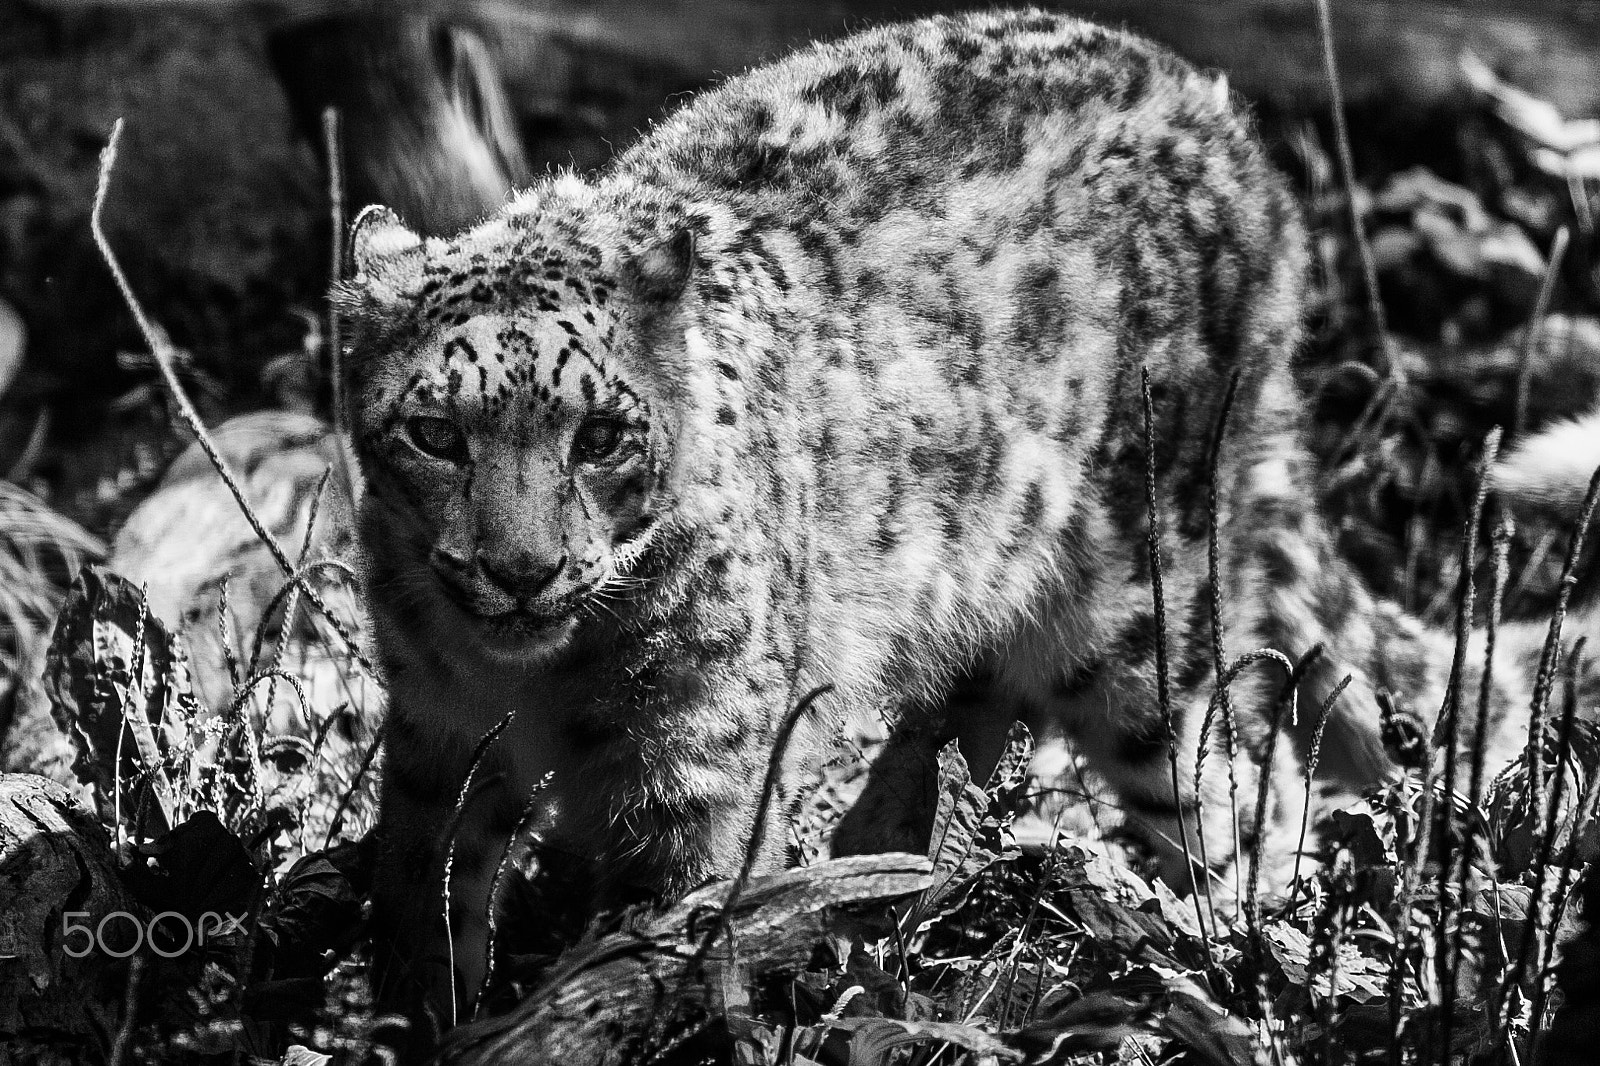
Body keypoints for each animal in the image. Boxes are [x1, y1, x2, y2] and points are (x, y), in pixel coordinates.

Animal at [334, 8, 1554, 1048]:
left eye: (598, 437)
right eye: (435, 433)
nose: (521, 569)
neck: (538, 683)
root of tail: (1231, 127)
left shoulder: (694, 776)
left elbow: (663, 941)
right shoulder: (436, 727)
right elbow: (422, 885)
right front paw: (415, 1016)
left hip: (1140, 619)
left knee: (1240, 787)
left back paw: (1239, 960)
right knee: (973, 725)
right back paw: (885, 876)